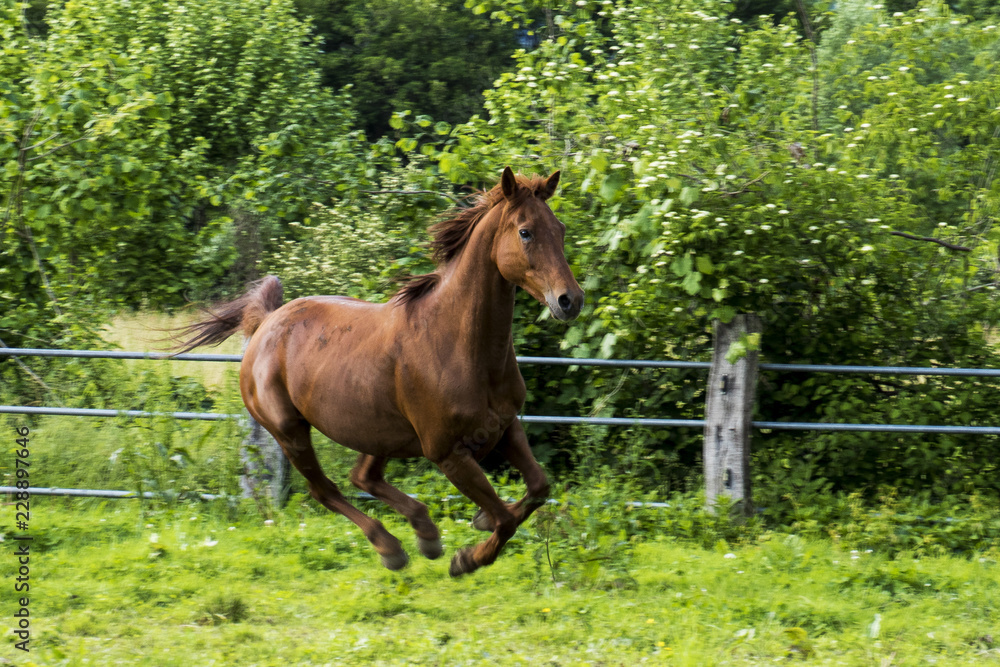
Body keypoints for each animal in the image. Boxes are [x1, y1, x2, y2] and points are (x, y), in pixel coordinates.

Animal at [173, 167, 584, 576]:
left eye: (560, 228)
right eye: (525, 231)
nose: (570, 300)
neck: (457, 344)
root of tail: (266, 322)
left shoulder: (506, 427)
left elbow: (539, 488)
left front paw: (477, 524)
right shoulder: (448, 454)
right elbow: (506, 519)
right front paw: (466, 559)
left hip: (376, 431)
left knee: (363, 476)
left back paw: (425, 533)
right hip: (290, 431)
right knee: (325, 489)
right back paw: (392, 547)